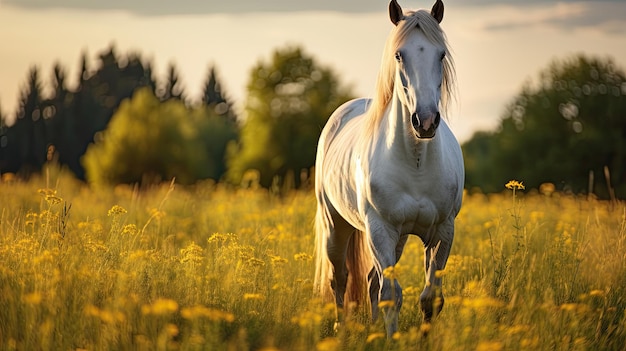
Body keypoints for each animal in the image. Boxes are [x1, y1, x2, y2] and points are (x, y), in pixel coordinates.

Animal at [312, 0, 464, 336]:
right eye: (399, 55)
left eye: (441, 54)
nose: (425, 121)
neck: (416, 162)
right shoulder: (381, 229)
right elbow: (391, 294)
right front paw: (392, 338)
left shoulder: (442, 231)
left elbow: (430, 298)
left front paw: (423, 339)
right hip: (336, 226)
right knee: (340, 278)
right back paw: (342, 328)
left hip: (400, 238)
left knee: (370, 281)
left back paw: (371, 328)